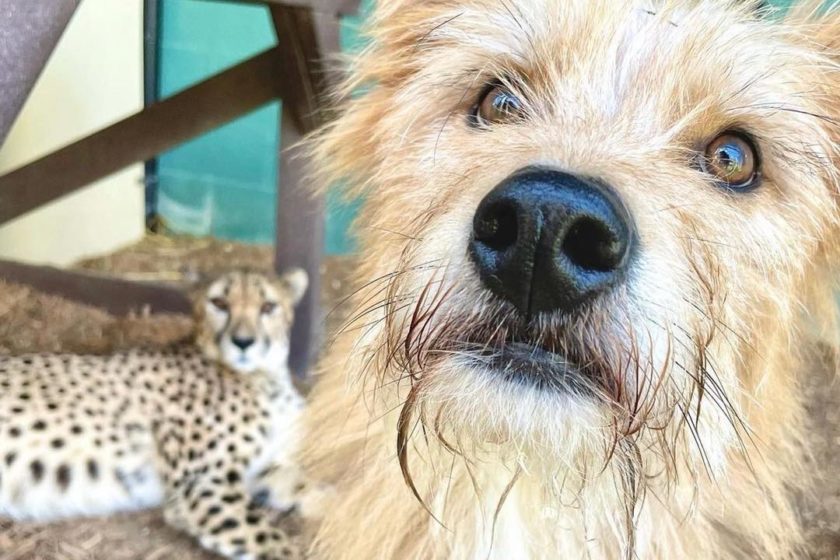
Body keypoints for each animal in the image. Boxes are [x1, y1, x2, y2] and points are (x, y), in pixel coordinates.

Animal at [0, 270, 308, 556]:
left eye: (268, 306)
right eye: (219, 303)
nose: (243, 342)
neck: (264, 375)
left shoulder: (264, 467)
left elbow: (307, 485)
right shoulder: (204, 486)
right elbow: (278, 545)